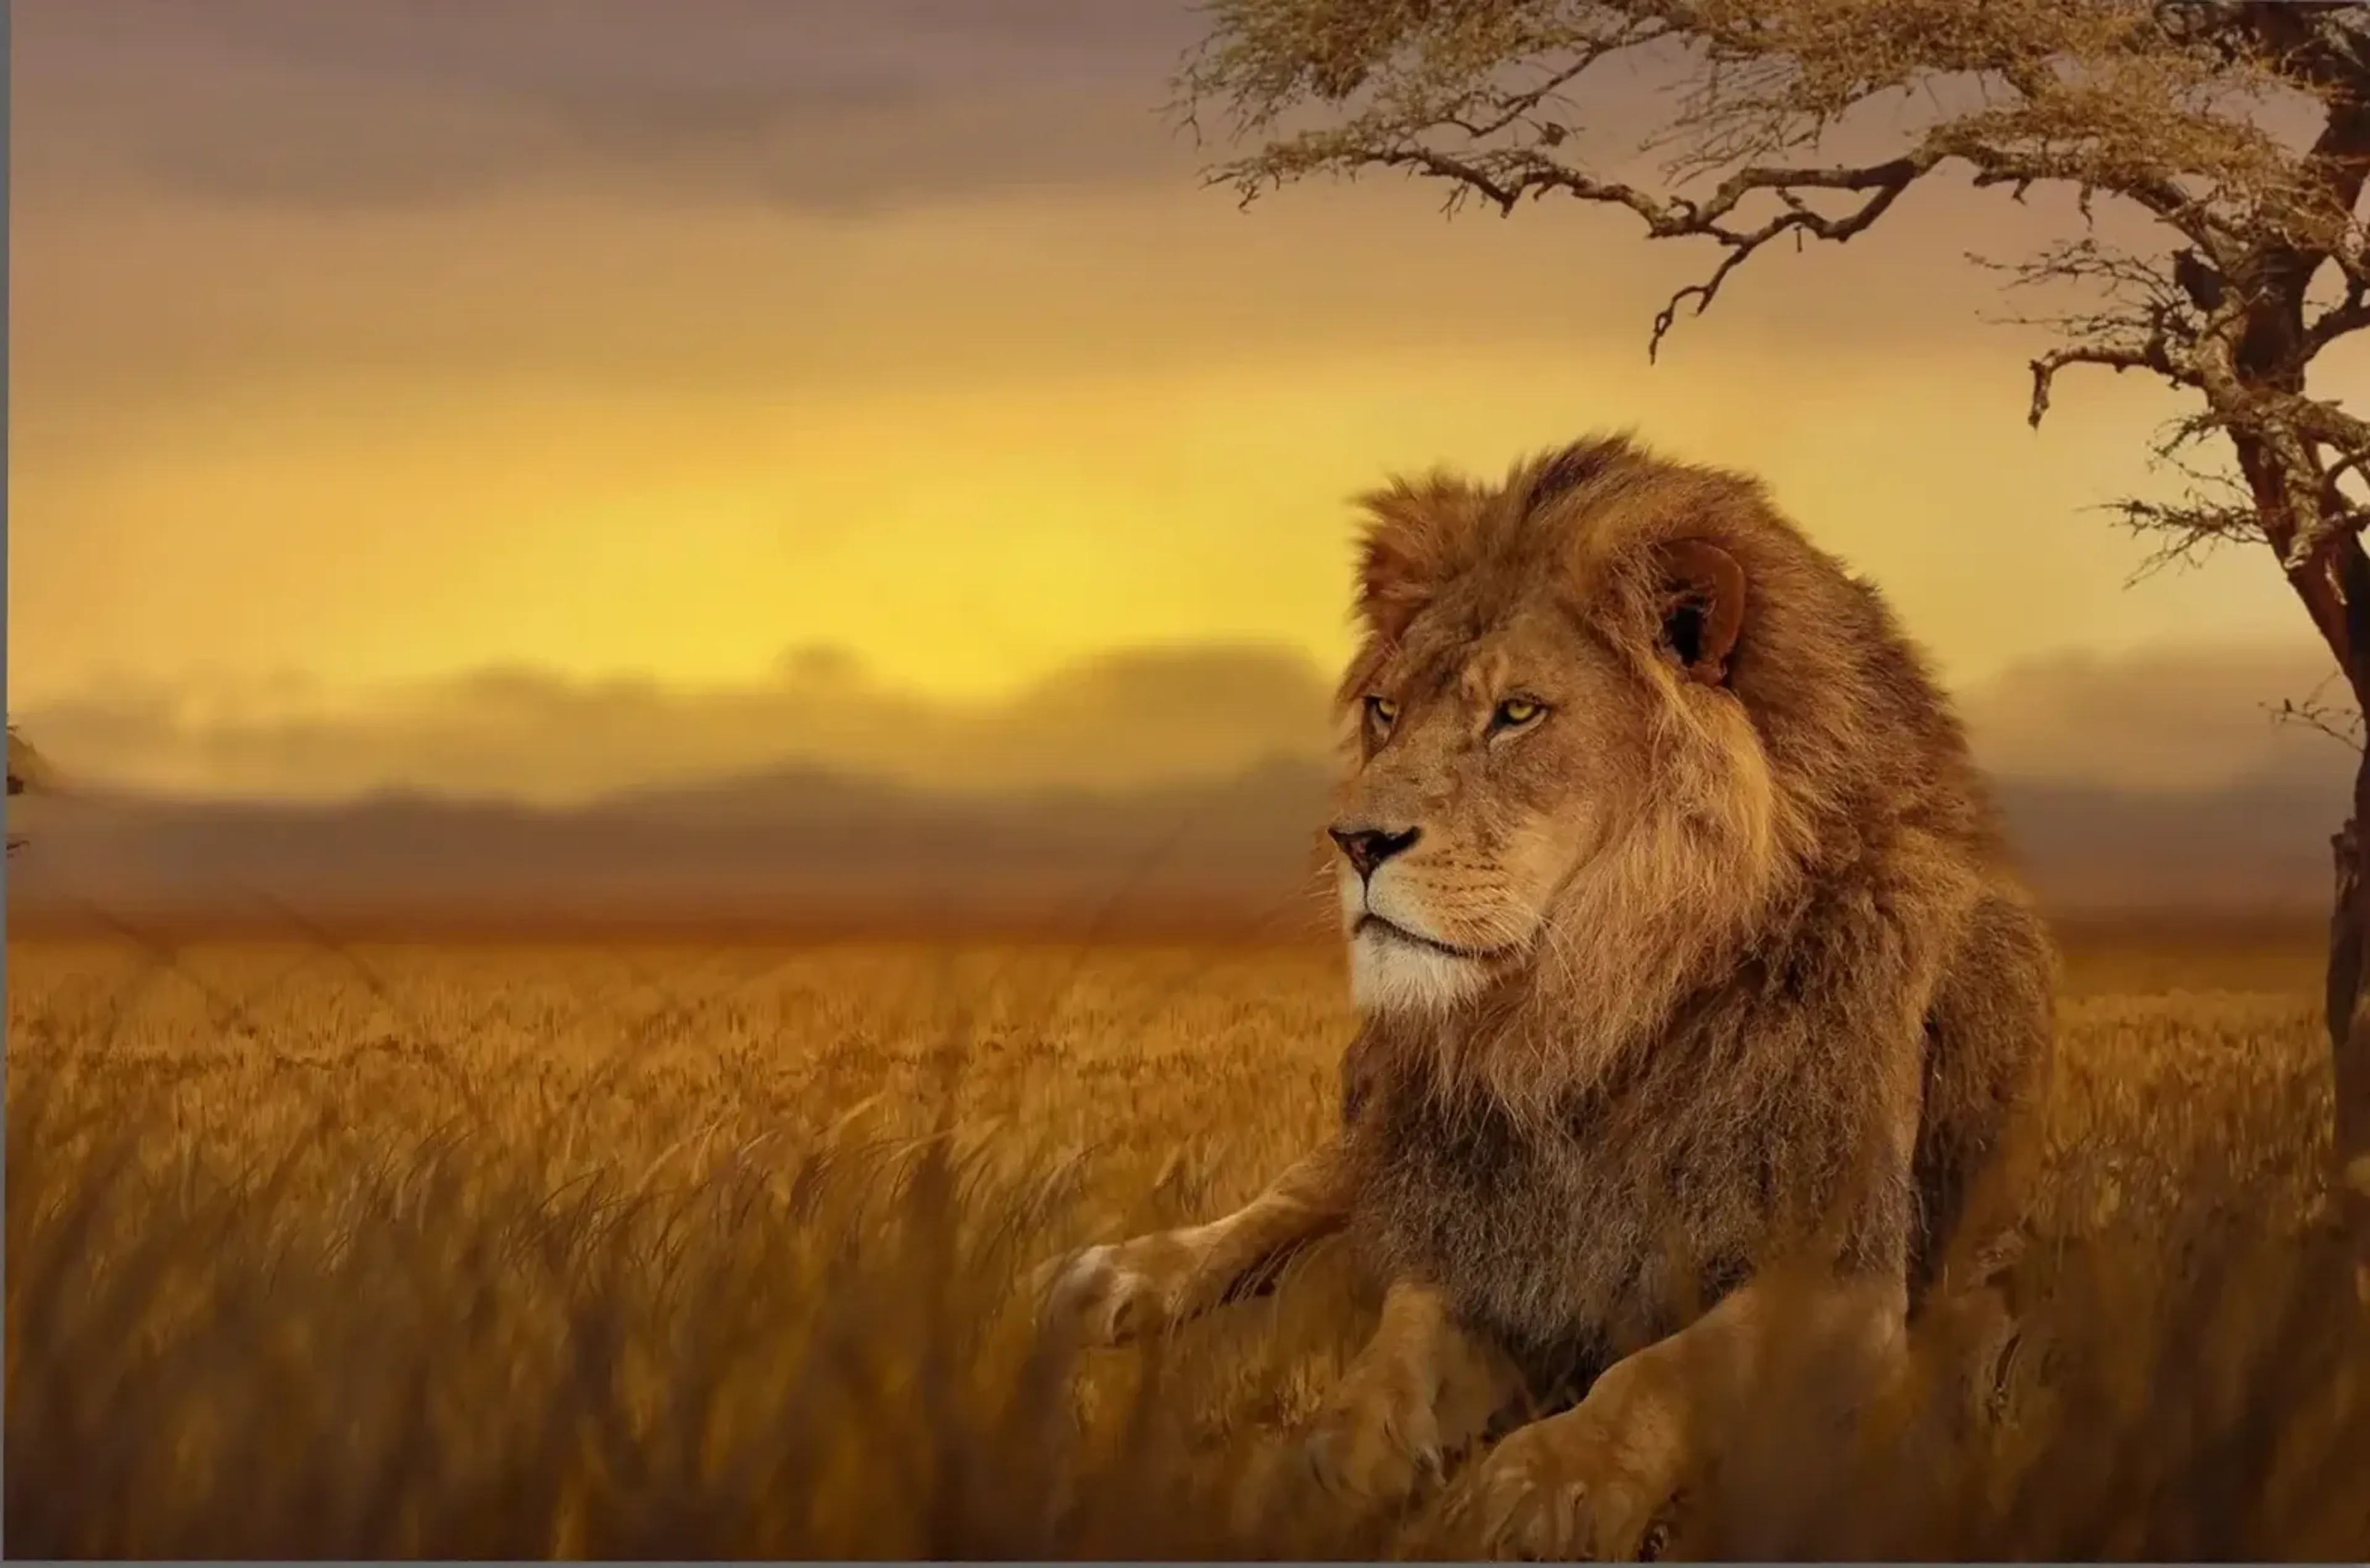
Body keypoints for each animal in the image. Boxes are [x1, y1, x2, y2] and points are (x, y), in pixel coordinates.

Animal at [1038, 432, 2055, 1558]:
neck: (1589, 1019)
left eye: (1516, 714)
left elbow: (1662, 1371)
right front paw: (1309, 1469)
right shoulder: (1477, 1227)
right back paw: (1124, 1277)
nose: (1353, 841)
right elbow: (1387, 1369)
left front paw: (1545, 1484)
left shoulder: (1843, 1273)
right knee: (1298, 1193)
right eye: (1386, 710)